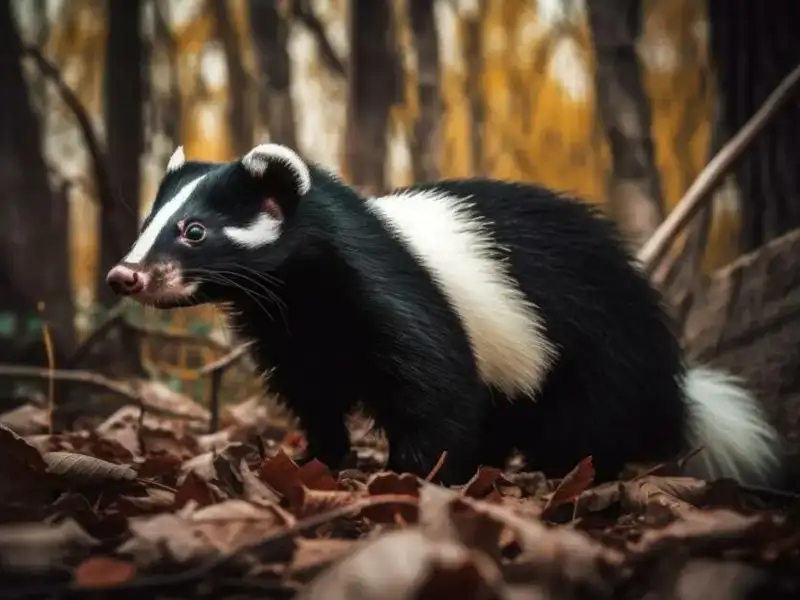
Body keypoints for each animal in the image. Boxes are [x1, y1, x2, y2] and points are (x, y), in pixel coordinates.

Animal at [104, 142, 780, 488]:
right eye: (149, 223)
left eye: (195, 231)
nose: (124, 274)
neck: (303, 291)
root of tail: (670, 382)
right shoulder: (297, 330)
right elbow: (314, 394)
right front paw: (316, 458)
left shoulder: (393, 300)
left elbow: (436, 390)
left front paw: (411, 475)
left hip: (591, 352)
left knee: (586, 422)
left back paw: (565, 472)